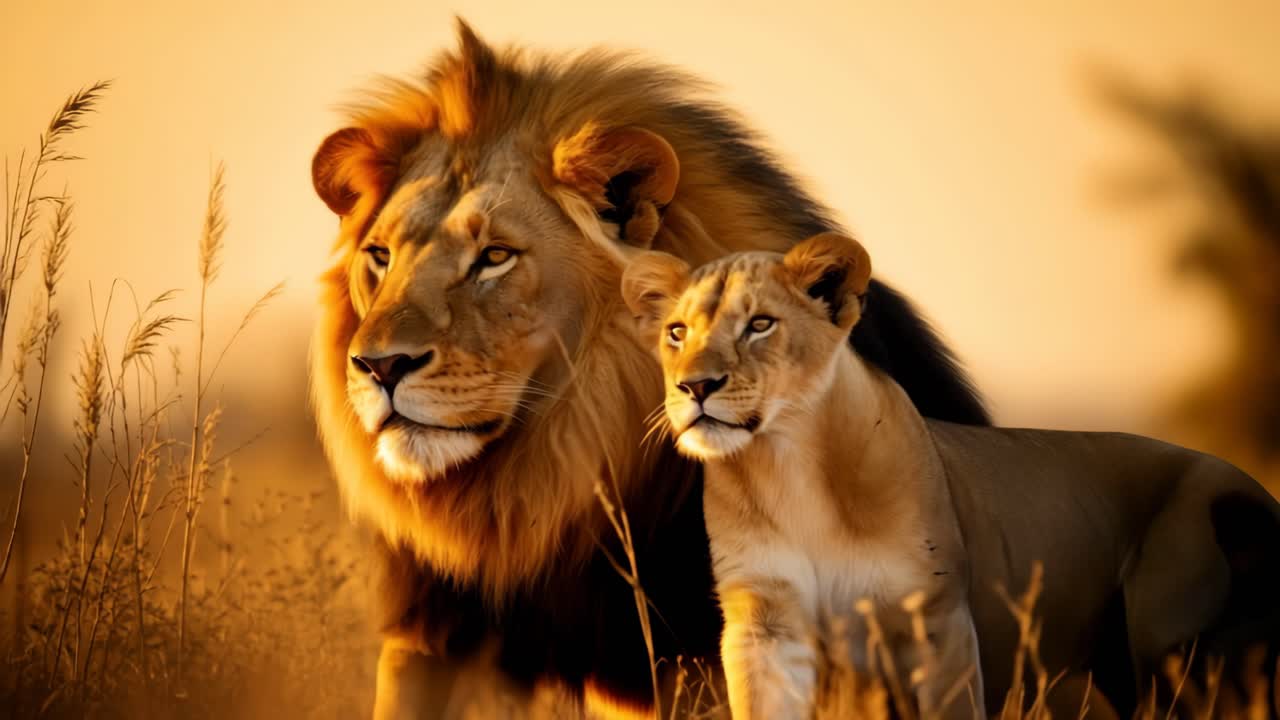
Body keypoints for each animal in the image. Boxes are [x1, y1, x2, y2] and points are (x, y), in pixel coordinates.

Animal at [622, 233, 1280, 717]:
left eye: (759, 324)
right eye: (677, 332)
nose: (695, 387)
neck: (789, 468)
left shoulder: (938, 626)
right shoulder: (764, 626)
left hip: (1179, 651)